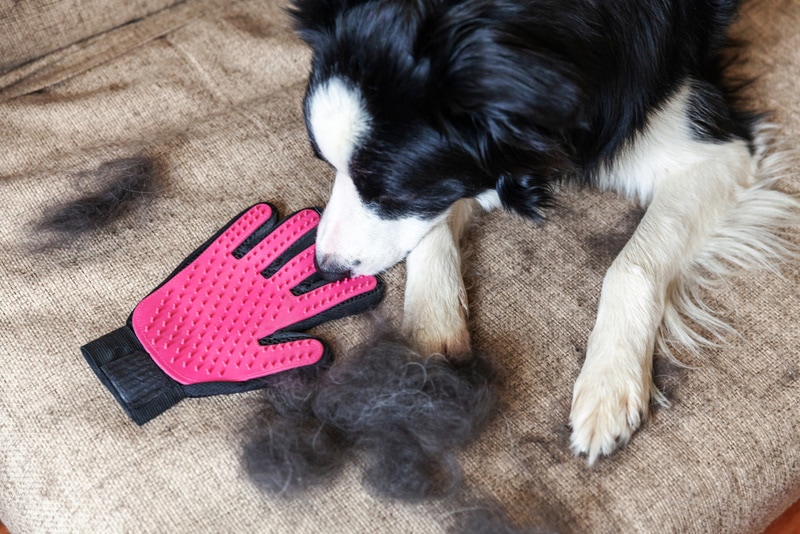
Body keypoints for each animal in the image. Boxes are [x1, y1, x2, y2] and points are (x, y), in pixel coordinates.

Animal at [288, 0, 800, 464]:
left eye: (391, 190)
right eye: (325, 163)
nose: (326, 267)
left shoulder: (712, 149)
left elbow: (631, 265)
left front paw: (608, 383)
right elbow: (435, 229)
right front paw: (426, 348)